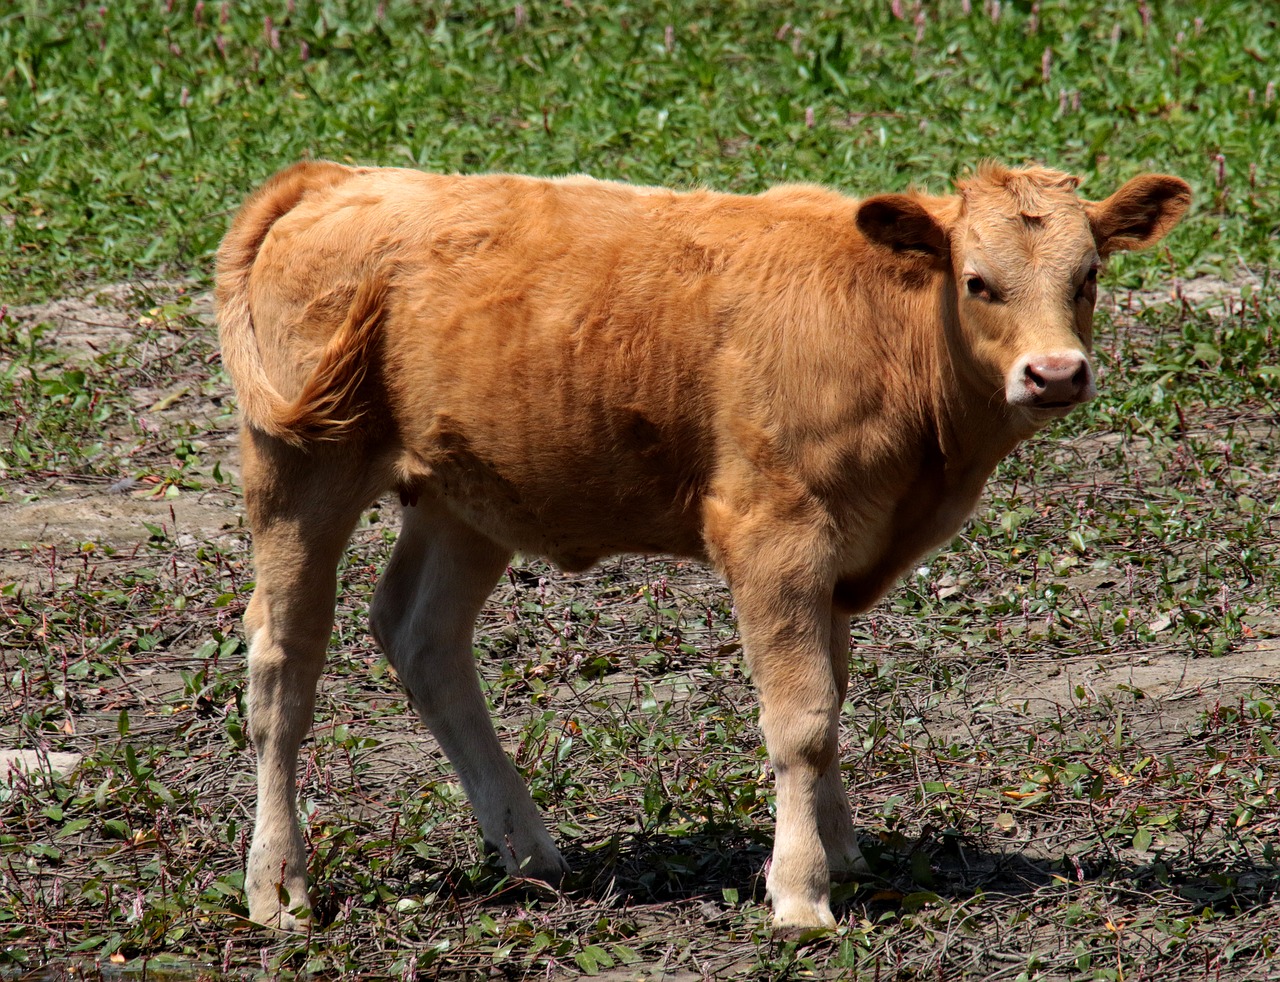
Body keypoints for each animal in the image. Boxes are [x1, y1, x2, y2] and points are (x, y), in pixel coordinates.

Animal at [215, 161, 1182, 932]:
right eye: (978, 281)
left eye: (1089, 275)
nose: (1054, 374)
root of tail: (337, 177)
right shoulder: (775, 537)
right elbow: (802, 720)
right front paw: (801, 893)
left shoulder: (840, 555)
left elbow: (832, 703)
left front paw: (842, 850)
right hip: (301, 469)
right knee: (284, 666)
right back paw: (280, 886)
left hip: (467, 500)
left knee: (424, 637)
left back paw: (529, 851)